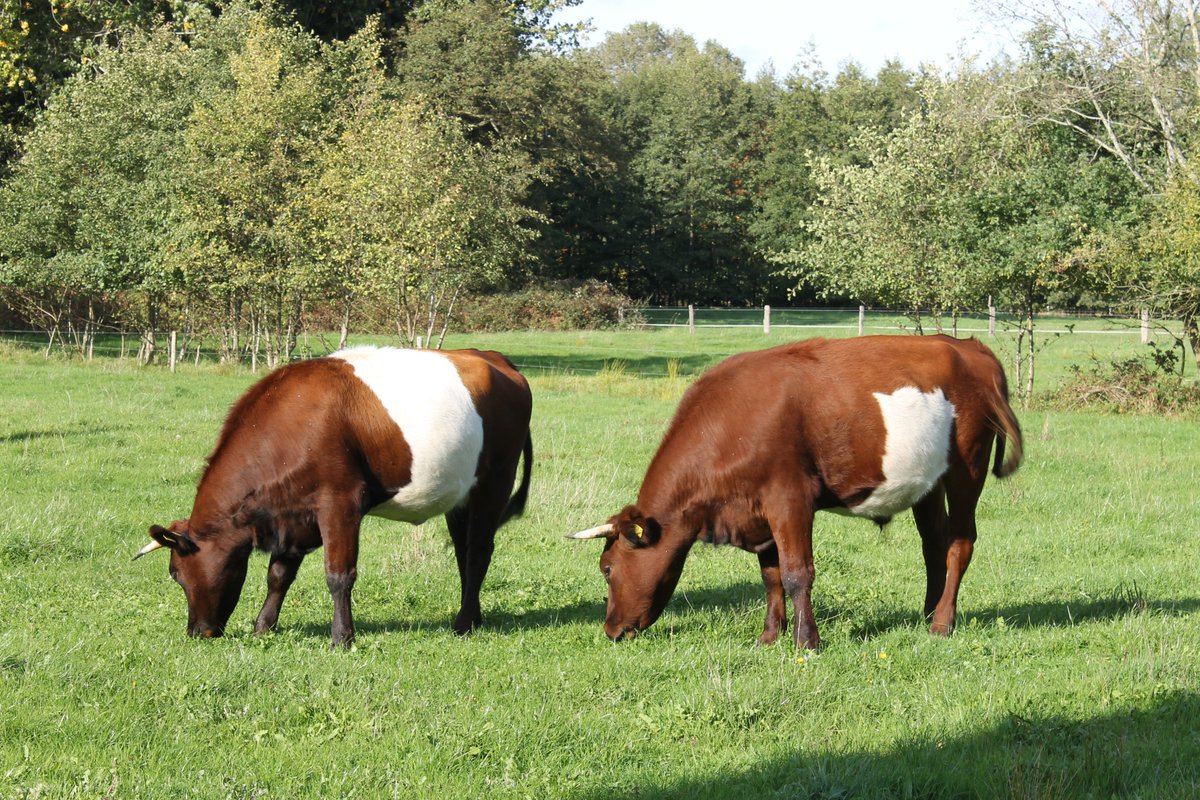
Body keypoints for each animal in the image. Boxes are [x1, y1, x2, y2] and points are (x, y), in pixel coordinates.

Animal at [134, 346, 533, 648]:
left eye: (176, 574)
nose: (197, 632)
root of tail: (493, 358)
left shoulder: (340, 504)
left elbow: (339, 575)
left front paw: (342, 638)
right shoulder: (292, 513)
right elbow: (278, 574)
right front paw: (264, 625)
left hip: (494, 480)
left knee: (478, 551)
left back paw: (464, 623)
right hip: (459, 494)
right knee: (464, 550)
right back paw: (474, 615)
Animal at [569, 335, 1022, 650]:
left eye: (607, 568)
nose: (611, 629)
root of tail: (970, 346)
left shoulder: (789, 498)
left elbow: (796, 572)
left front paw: (808, 642)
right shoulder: (757, 511)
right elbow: (770, 577)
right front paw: (769, 637)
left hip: (967, 469)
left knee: (960, 543)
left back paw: (942, 623)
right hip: (926, 481)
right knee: (933, 544)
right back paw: (927, 612)